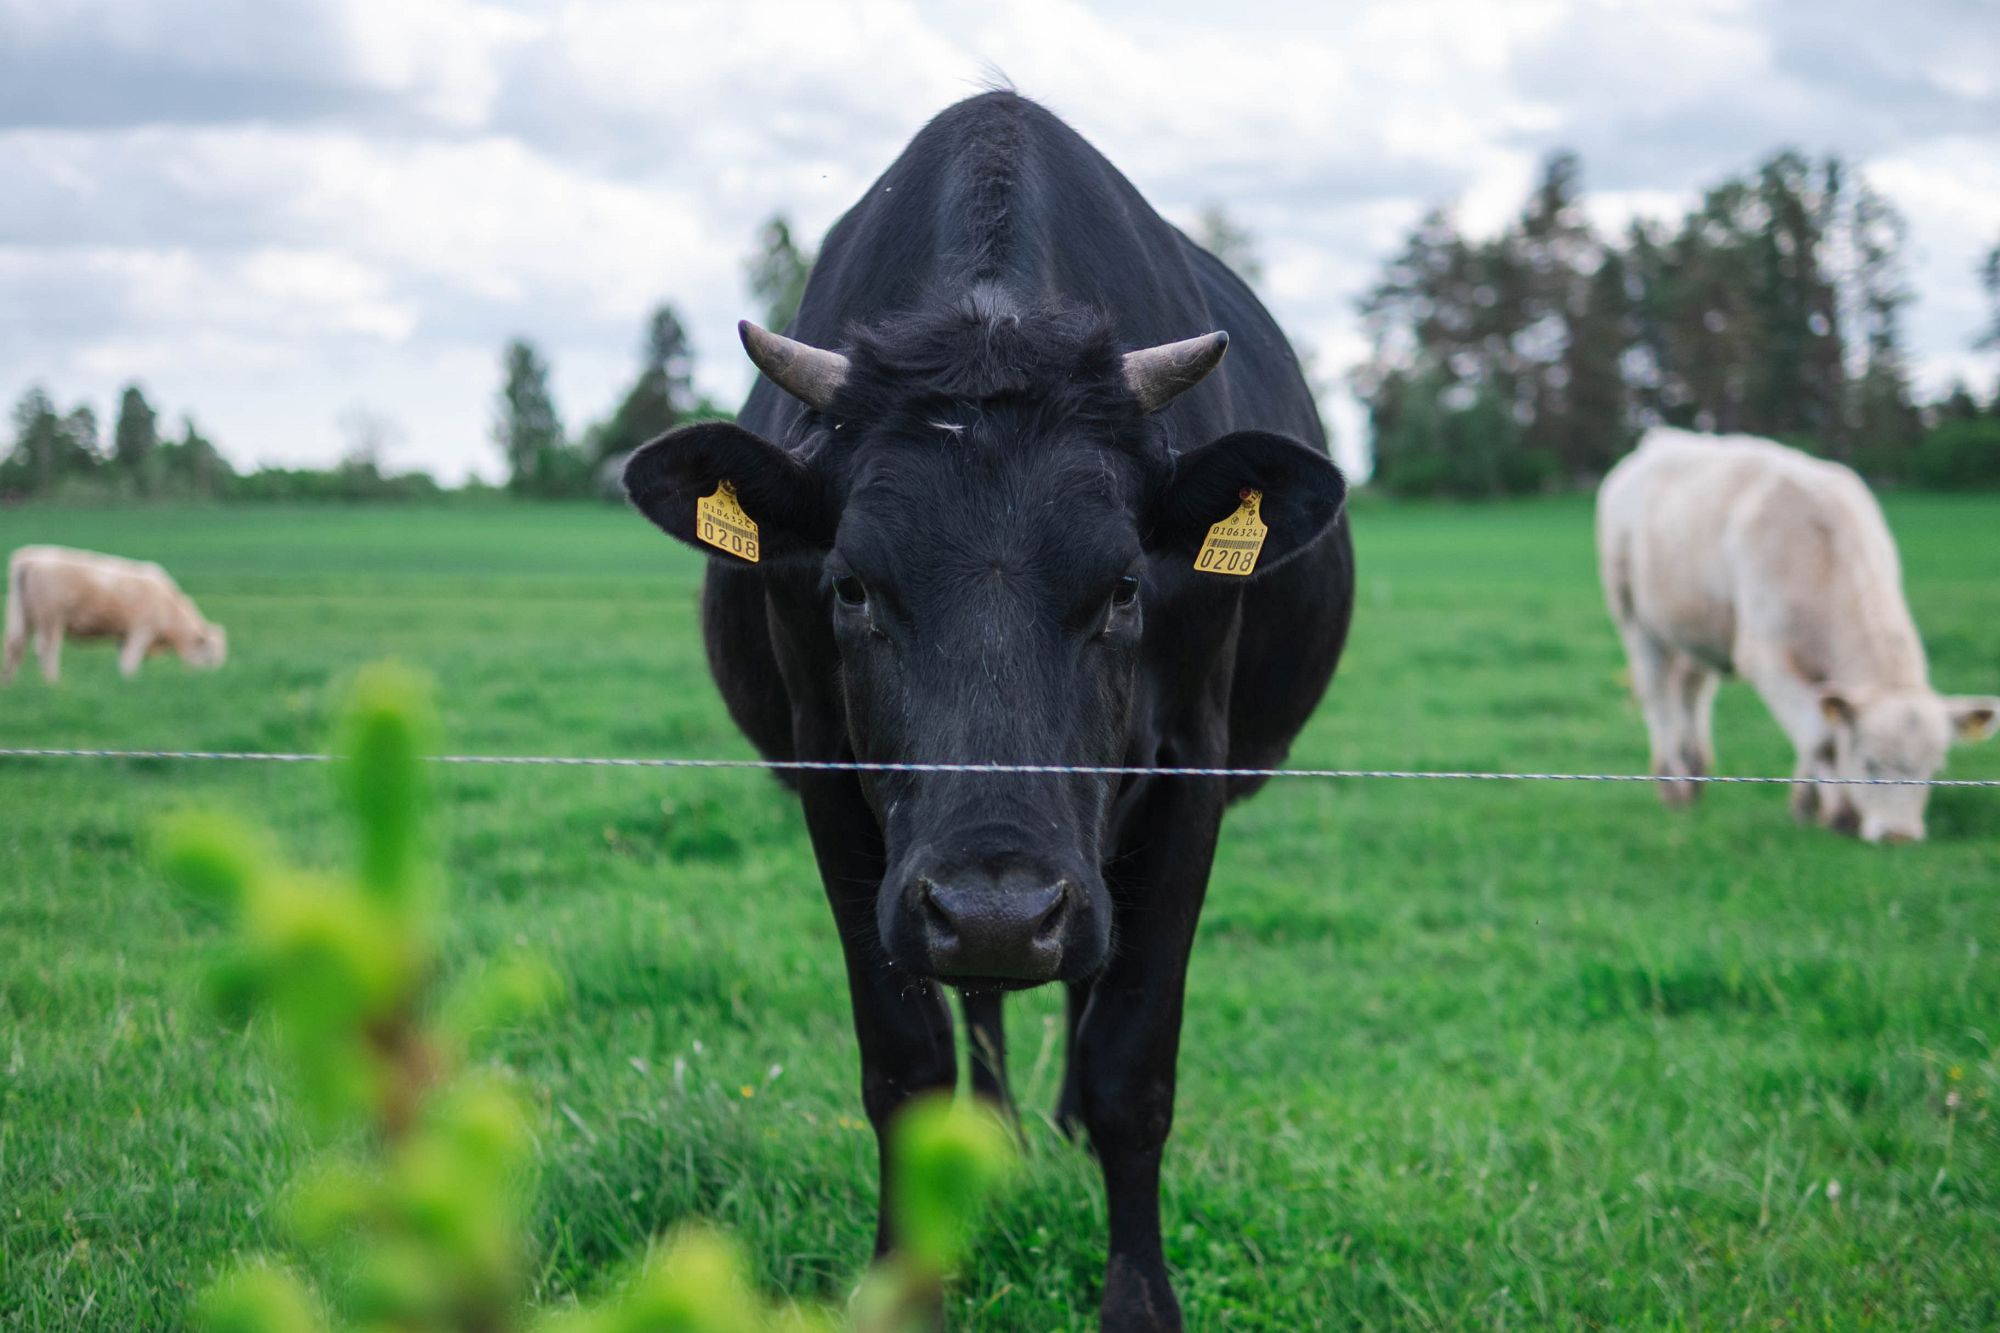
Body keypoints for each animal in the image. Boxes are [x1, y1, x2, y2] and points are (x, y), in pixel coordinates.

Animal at [3, 545, 227, 685]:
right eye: (209, 657)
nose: (210, 680)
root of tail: (31, 558)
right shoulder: (140, 631)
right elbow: (130, 661)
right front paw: (131, 682)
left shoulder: (124, 636)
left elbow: (122, 661)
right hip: (51, 619)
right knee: (46, 649)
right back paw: (53, 683)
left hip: (23, 617)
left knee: (15, 646)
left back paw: (10, 684)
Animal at [624, 92, 1353, 1329]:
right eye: (850, 587)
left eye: (1124, 587)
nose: (998, 912)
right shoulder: (836, 785)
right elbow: (904, 1058)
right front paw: (903, 1281)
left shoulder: (1189, 771)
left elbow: (1130, 1063)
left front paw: (1138, 1299)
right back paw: (1004, 1130)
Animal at [1597, 428, 1997, 842]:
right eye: (1870, 763)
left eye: (1934, 769)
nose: (1898, 836)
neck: (1823, 552)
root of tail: (1659, 440)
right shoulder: (1766, 658)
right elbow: (1821, 738)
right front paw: (1837, 813)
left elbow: (1820, 730)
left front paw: (1806, 805)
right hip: (1634, 617)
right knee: (1657, 696)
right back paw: (1672, 786)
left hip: (1694, 629)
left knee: (1690, 692)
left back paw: (1694, 776)